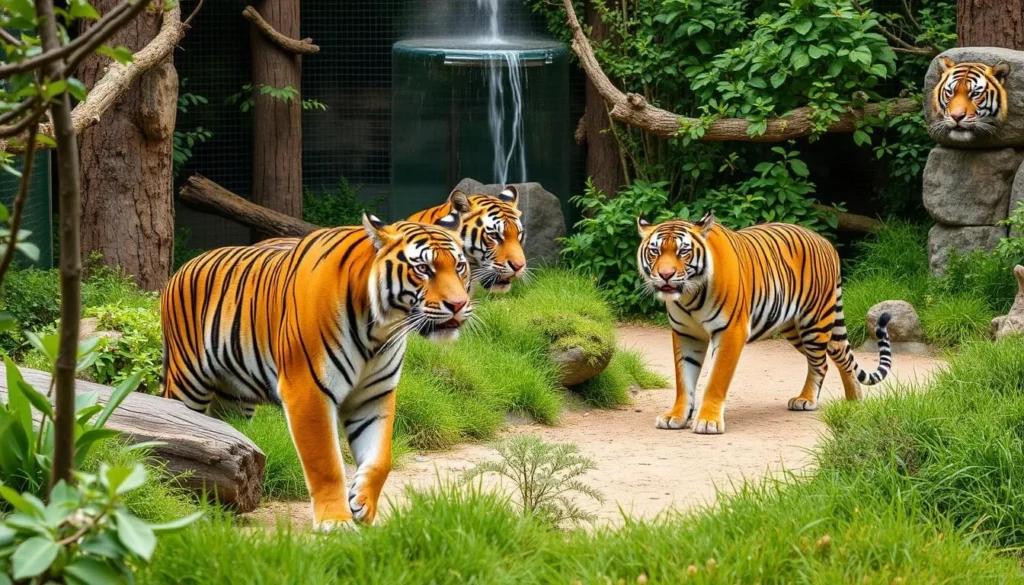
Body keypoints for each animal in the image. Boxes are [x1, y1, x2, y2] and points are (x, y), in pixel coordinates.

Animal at [160, 210, 472, 530]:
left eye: (459, 266)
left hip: (234, 397)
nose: (459, 304)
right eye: (423, 268)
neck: (379, 330)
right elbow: (326, 463)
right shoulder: (308, 390)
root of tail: (183, 267)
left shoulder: (374, 395)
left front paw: (363, 504)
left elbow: (380, 457)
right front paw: (336, 521)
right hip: (188, 380)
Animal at [636, 212, 893, 435]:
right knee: (837, 356)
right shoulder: (685, 334)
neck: (690, 296)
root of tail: (826, 242)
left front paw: (708, 421)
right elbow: (684, 378)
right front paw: (676, 417)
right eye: (655, 251)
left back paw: (815, 400)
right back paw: (852, 399)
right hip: (796, 328)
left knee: (823, 363)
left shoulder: (730, 331)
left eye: (683, 252)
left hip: (815, 322)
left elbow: (716, 379)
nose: (665, 275)